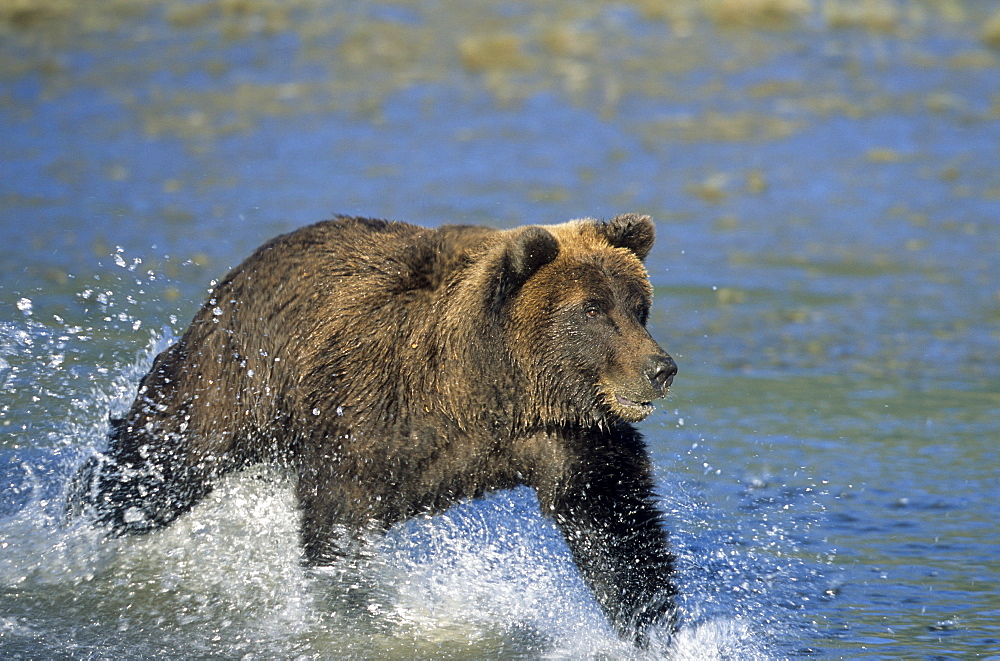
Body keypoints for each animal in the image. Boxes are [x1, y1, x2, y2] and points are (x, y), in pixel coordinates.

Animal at [66, 215, 680, 644]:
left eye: (638, 305)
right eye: (593, 309)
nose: (660, 368)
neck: (480, 391)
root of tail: (238, 273)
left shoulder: (563, 435)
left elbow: (613, 523)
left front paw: (654, 627)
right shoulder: (364, 417)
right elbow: (335, 526)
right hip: (233, 376)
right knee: (159, 463)